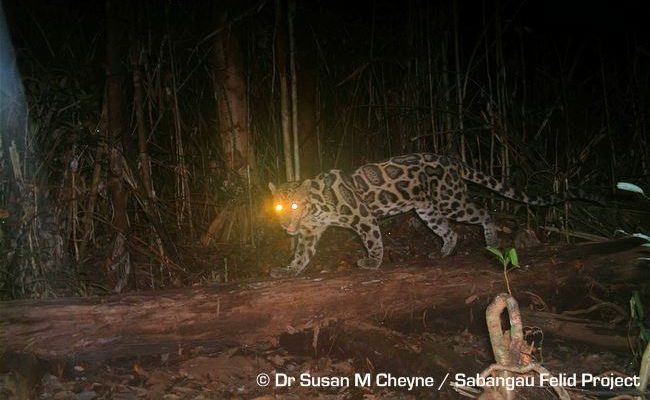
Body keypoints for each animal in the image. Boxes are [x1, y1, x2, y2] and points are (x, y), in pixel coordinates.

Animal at [268, 152, 597, 276]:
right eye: (279, 207)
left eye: (295, 206)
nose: (284, 226)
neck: (315, 207)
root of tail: (452, 160)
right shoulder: (309, 232)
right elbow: (302, 253)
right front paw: (288, 269)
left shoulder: (362, 216)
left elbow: (374, 240)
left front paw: (372, 262)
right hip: (427, 210)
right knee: (449, 230)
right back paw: (443, 252)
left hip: (451, 201)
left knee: (483, 212)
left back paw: (491, 242)